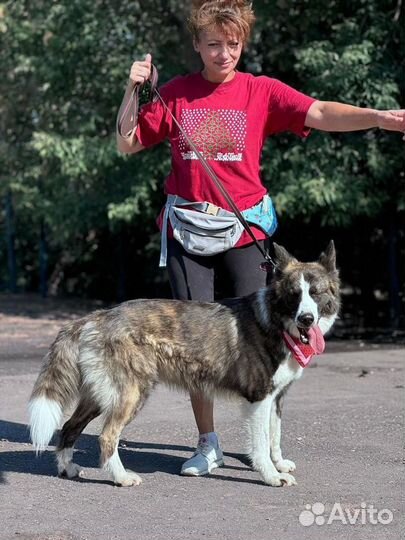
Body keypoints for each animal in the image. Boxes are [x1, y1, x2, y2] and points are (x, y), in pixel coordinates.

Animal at [28, 240, 340, 486]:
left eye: (316, 293)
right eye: (294, 295)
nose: (306, 319)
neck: (275, 322)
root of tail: (93, 318)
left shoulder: (275, 398)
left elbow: (274, 436)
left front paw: (279, 464)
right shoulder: (258, 399)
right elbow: (261, 443)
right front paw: (271, 477)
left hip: (99, 396)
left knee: (69, 427)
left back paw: (68, 469)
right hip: (130, 394)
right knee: (107, 437)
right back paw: (121, 478)